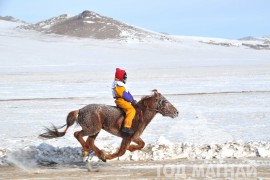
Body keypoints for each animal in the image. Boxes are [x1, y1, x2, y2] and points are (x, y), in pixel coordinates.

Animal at [40, 90, 178, 162]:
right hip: (92, 129)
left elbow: (141, 144)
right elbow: (121, 152)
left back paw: (99, 154)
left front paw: (130, 148)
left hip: (95, 131)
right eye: (165, 101)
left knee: (90, 142)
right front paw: (109, 156)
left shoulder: (134, 137)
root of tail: (80, 110)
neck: (141, 114)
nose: (177, 112)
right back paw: (88, 151)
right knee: (78, 134)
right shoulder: (127, 137)